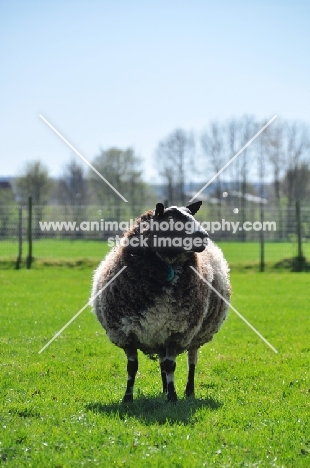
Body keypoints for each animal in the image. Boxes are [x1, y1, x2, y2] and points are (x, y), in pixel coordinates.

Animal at [92, 201, 230, 402]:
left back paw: (188, 391)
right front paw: (127, 398)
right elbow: (132, 368)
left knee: (191, 361)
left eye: (191, 215)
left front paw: (172, 397)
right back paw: (164, 389)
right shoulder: (126, 332)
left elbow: (171, 365)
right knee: (162, 362)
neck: (167, 266)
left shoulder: (177, 330)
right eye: (171, 219)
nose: (203, 237)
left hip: (195, 335)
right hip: (157, 335)